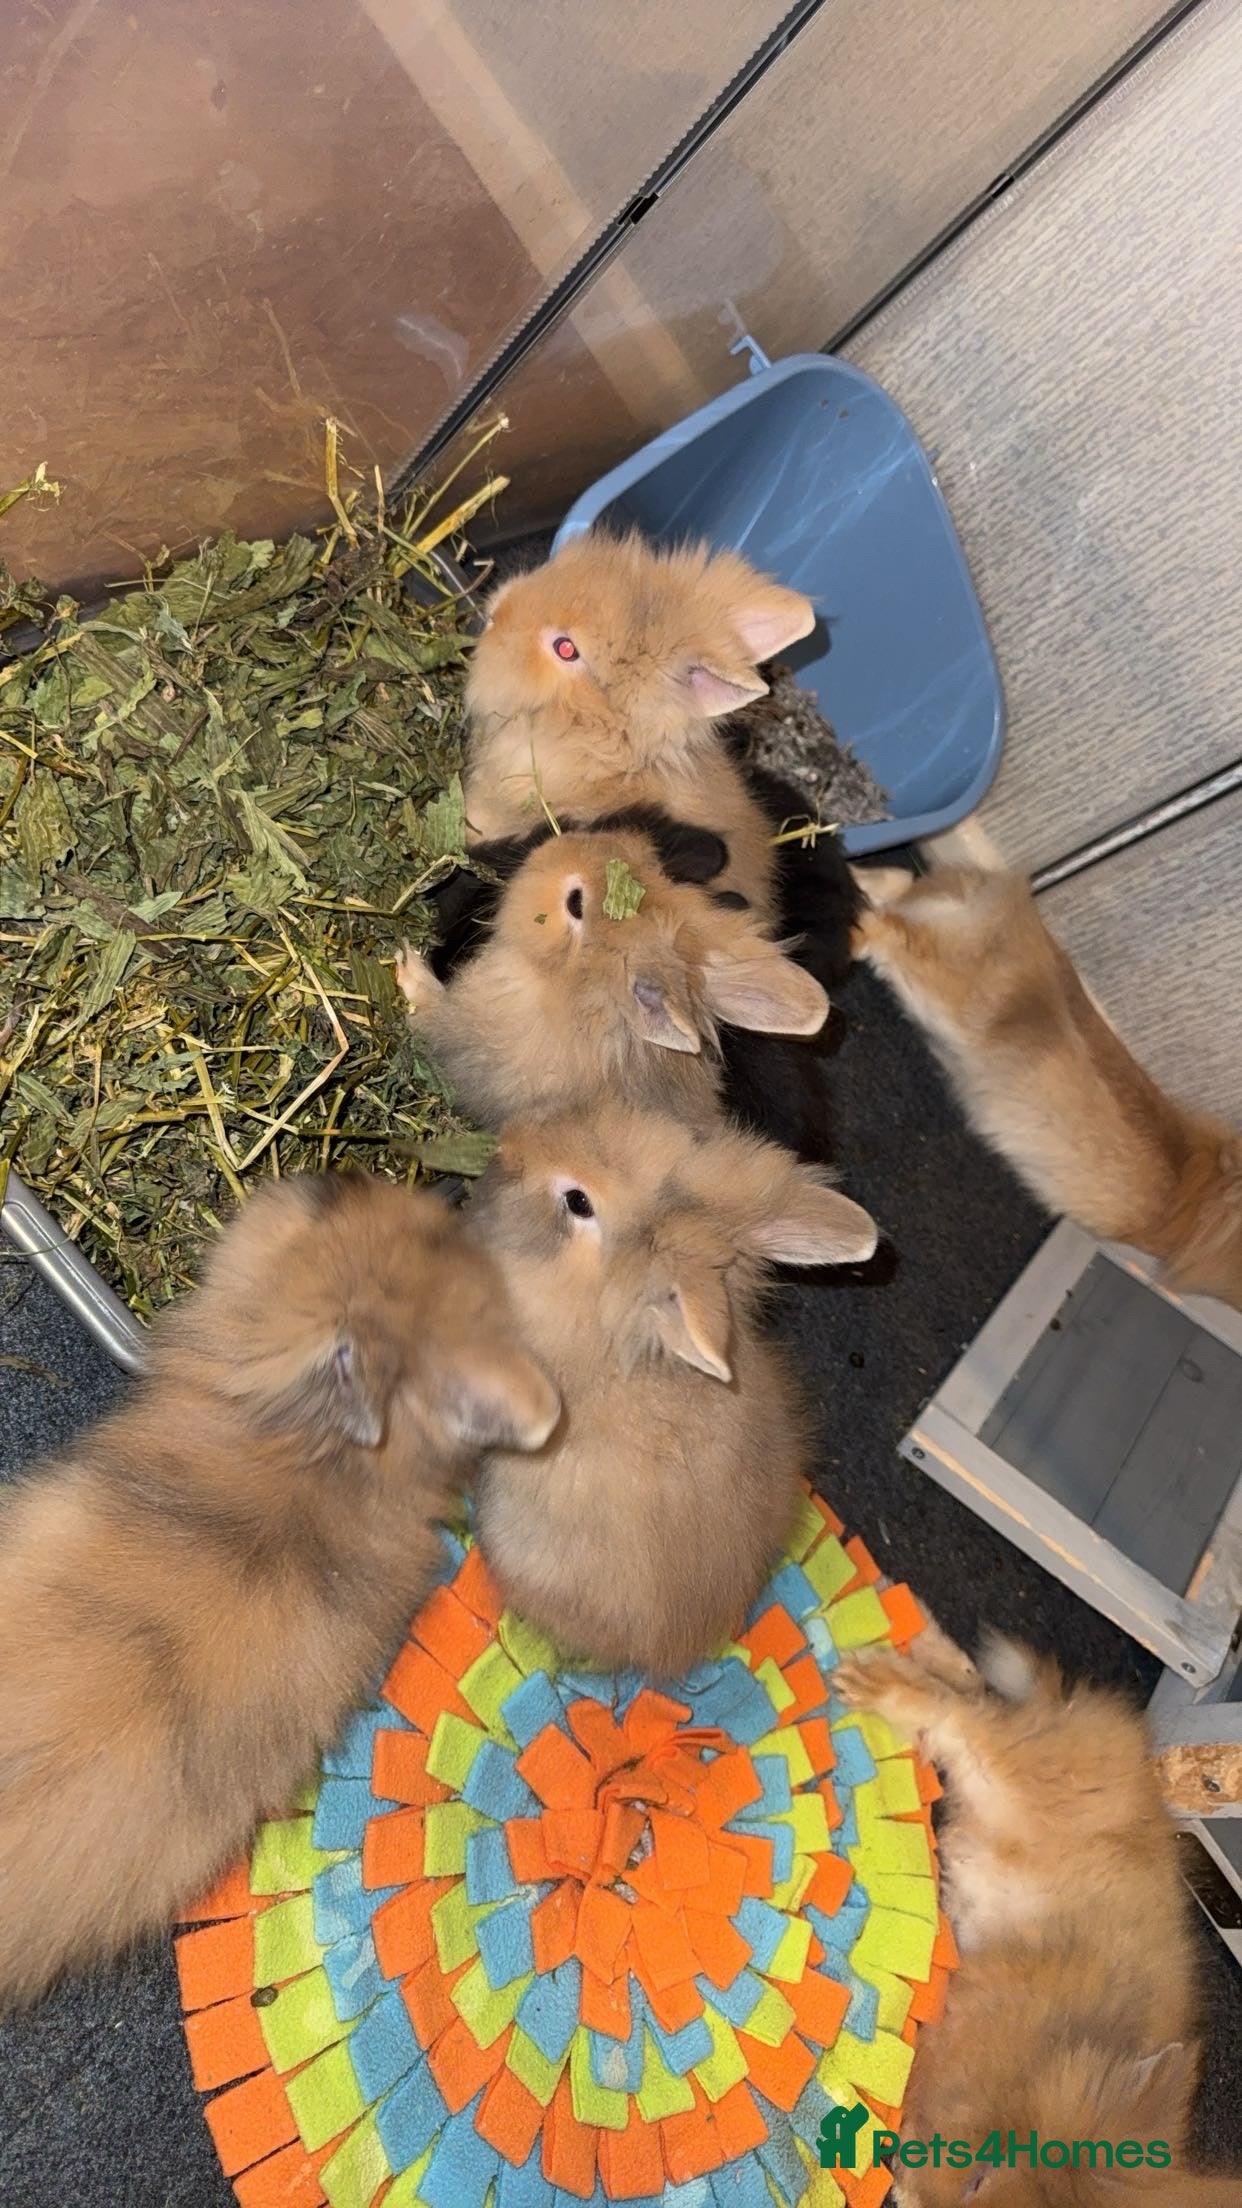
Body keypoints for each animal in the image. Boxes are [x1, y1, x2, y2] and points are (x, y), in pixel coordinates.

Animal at [836, 1627, 1202, 2208]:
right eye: (980, 2177)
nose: (904, 2192)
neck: (1042, 2059)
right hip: (1012, 1777)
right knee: (961, 1717)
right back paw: (865, 1679)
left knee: (973, 1702)